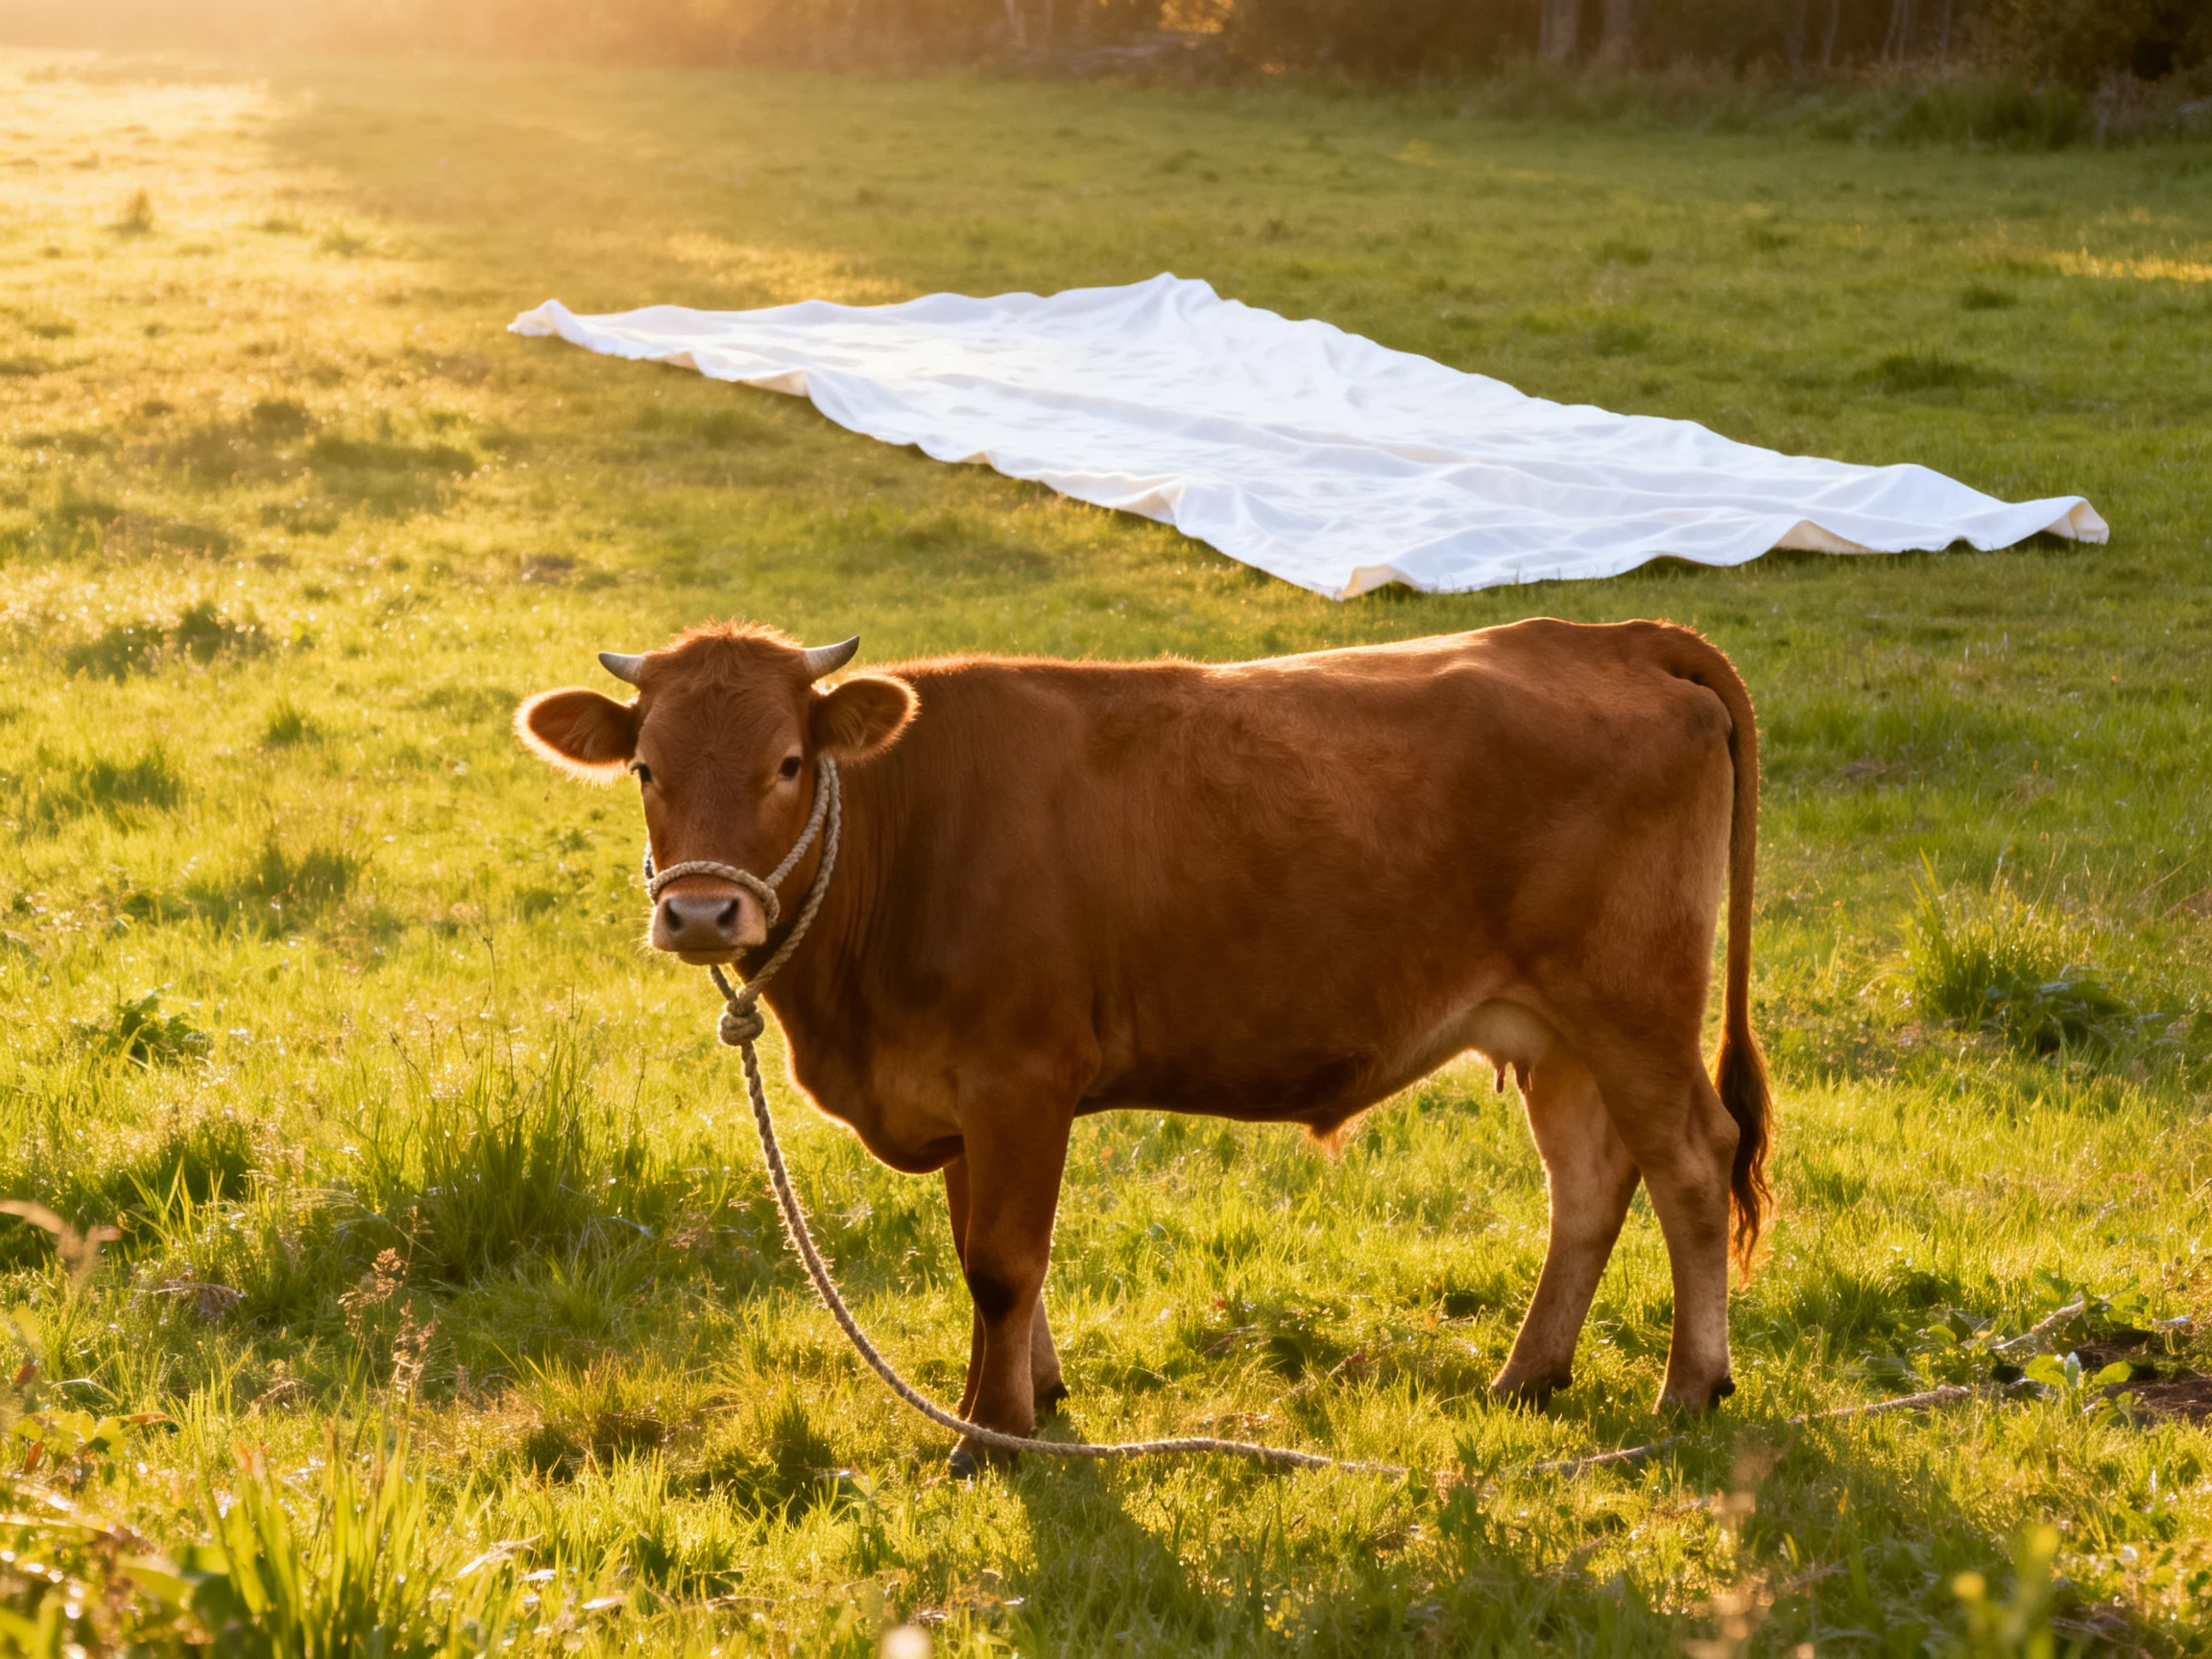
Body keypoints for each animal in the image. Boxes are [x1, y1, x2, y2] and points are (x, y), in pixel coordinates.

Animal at [516, 618, 1773, 1472]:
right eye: (645, 769)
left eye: (786, 761)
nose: (701, 914)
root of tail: (1607, 637)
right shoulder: (961, 1096)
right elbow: (992, 1257)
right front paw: (1031, 1394)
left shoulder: (1020, 1076)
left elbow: (1002, 1261)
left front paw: (991, 1438)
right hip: (1557, 1036)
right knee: (1592, 1185)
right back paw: (1529, 1375)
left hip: (1633, 1008)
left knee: (1692, 1166)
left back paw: (1689, 1387)